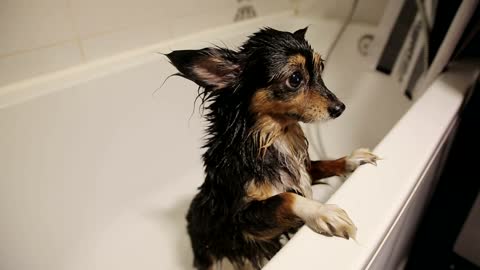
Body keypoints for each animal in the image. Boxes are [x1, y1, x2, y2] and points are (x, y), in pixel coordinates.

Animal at [167, 28, 376, 270]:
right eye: (295, 79)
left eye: (321, 68)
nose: (340, 108)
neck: (276, 136)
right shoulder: (243, 223)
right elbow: (286, 197)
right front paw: (322, 211)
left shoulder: (302, 170)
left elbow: (324, 164)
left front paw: (352, 159)